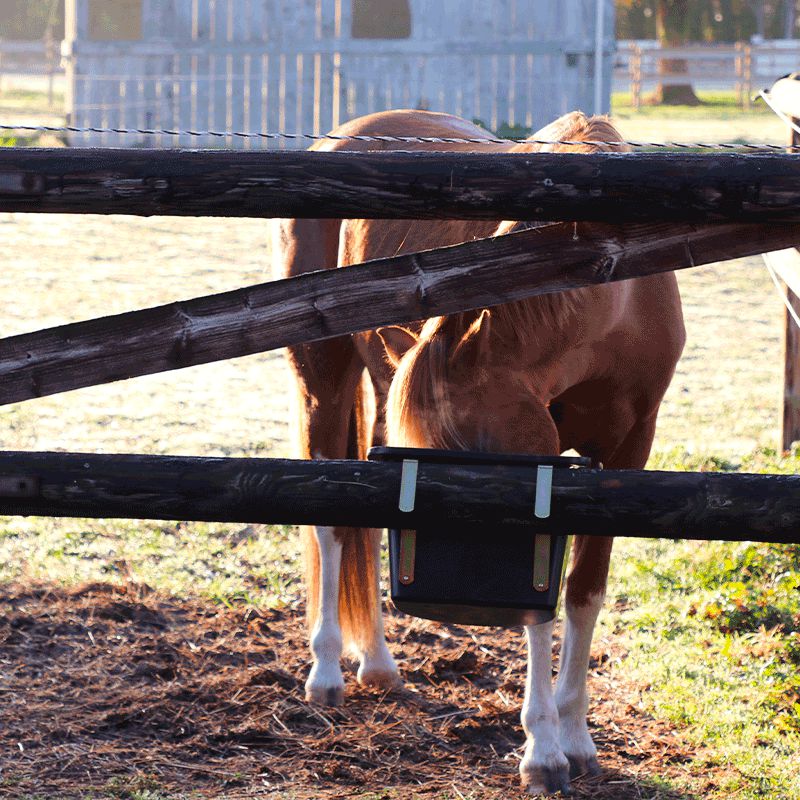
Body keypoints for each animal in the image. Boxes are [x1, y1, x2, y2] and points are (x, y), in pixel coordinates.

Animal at [272, 111, 684, 792]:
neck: (609, 284)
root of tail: (343, 134)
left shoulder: (627, 449)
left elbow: (583, 592)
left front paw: (576, 736)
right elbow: (538, 610)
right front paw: (543, 751)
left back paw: (379, 664)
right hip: (321, 384)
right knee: (331, 527)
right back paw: (327, 672)